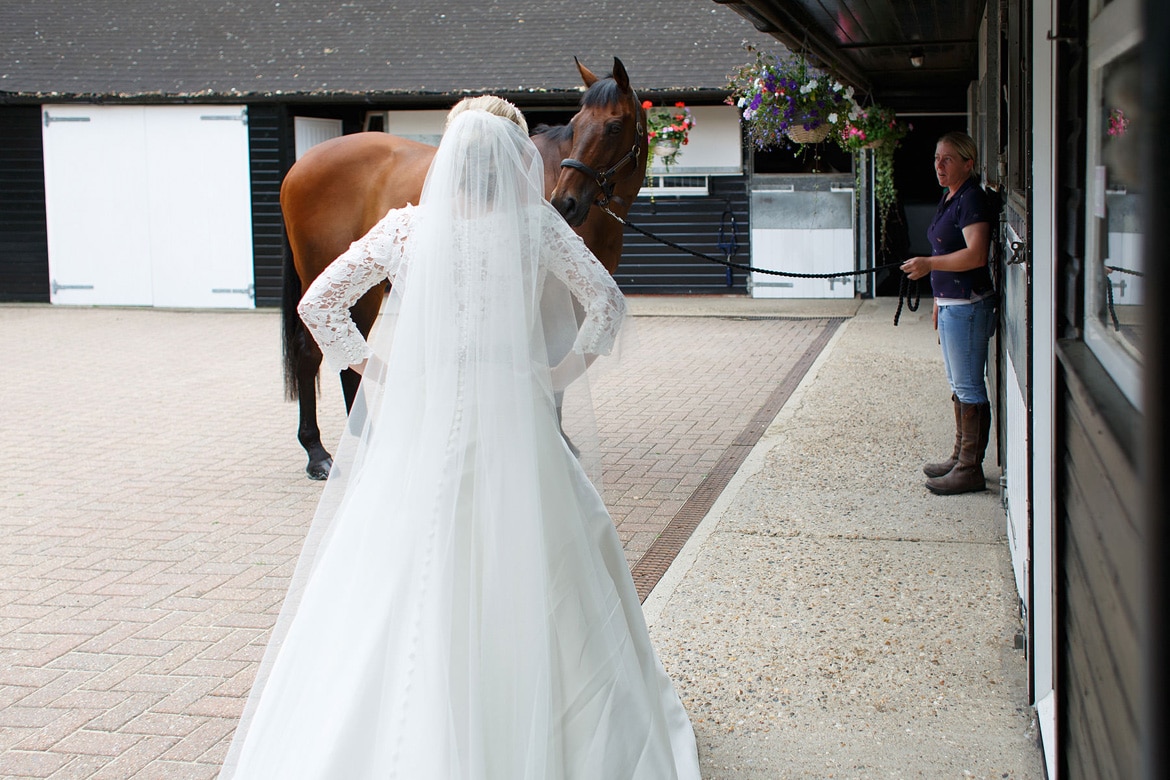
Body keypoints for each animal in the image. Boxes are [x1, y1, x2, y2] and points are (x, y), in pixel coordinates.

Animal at [283, 57, 650, 479]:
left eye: (614, 126)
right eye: (576, 123)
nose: (565, 203)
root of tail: (299, 166)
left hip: (367, 285)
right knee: (311, 354)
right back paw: (317, 453)